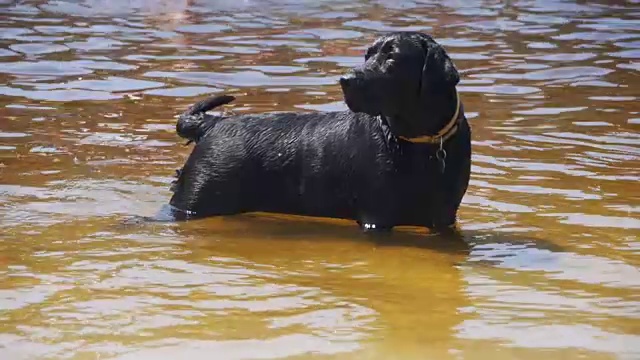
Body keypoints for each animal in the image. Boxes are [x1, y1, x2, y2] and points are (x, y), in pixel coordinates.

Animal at [169, 32, 470, 232]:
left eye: (392, 57)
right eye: (367, 55)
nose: (345, 79)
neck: (421, 142)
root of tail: (213, 124)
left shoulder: (444, 216)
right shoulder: (377, 215)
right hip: (196, 198)